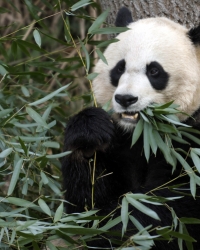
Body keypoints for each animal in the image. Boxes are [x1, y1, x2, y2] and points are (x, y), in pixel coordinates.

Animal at [61, 6, 200, 249]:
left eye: (154, 71)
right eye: (119, 68)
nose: (125, 99)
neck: (143, 135)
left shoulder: (192, 139)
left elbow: (175, 206)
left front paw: (119, 227)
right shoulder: (120, 144)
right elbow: (85, 202)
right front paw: (89, 135)